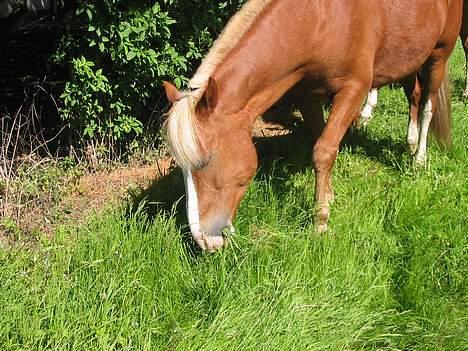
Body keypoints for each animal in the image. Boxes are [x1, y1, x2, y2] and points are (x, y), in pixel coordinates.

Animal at [163, 0, 462, 253]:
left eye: (205, 161)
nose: (204, 240)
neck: (320, 19)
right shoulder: (307, 94)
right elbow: (321, 146)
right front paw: (328, 196)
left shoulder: (354, 90)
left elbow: (324, 151)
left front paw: (320, 222)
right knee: (414, 96)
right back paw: (410, 142)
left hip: (439, 55)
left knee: (427, 106)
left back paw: (419, 158)